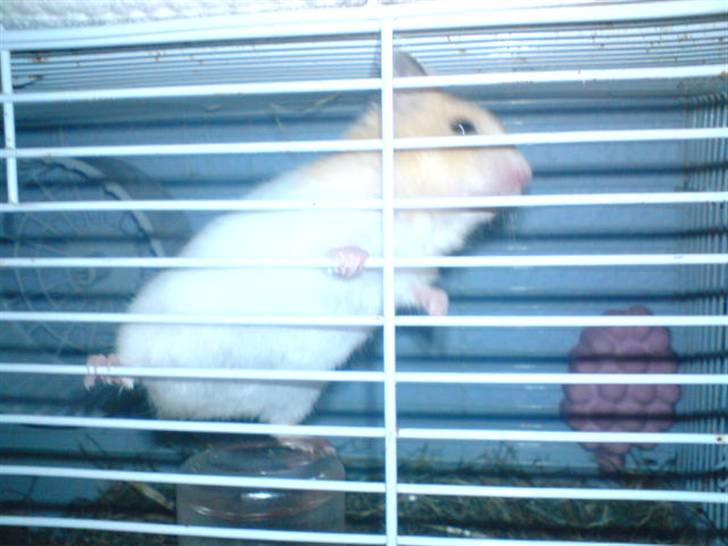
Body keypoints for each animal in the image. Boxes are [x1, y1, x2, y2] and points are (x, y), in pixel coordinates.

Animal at [86, 52, 531, 427]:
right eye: (462, 127)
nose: (527, 175)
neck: (421, 212)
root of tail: (174, 409)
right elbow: (338, 246)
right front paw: (350, 259)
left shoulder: (408, 275)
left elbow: (417, 293)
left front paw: (441, 310)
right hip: (147, 331)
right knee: (131, 365)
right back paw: (99, 368)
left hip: (295, 397)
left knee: (274, 427)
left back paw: (311, 444)